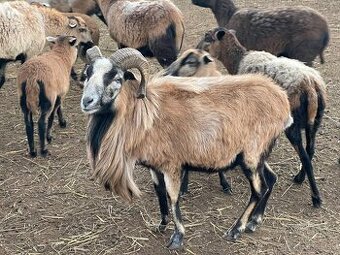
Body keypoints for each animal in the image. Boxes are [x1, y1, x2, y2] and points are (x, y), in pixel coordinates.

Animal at [80, 47, 292, 249]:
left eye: (116, 77)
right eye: (88, 73)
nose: (87, 101)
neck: (146, 112)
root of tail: (282, 101)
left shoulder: (171, 165)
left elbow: (173, 198)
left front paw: (177, 237)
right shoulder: (154, 166)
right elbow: (160, 193)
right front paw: (161, 225)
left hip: (251, 156)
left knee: (258, 190)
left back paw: (236, 229)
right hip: (258, 155)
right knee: (271, 180)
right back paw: (255, 221)